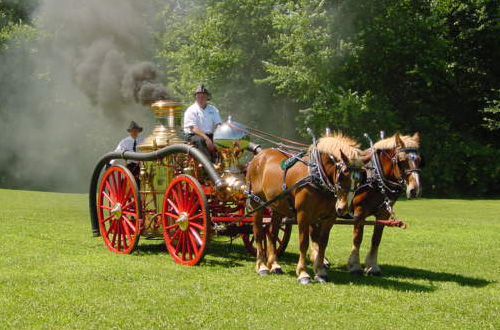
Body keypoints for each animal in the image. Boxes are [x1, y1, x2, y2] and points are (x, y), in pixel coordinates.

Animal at [247, 134, 362, 284]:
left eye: (359, 180)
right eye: (342, 174)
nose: (343, 208)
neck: (316, 175)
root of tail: (259, 156)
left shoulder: (329, 217)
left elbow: (322, 243)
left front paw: (320, 271)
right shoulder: (304, 214)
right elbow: (304, 243)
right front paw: (303, 273)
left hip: (277, 206)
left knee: (272, 233)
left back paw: (274, 265)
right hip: (256, 204)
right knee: (258, 233)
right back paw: (262, 266)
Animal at [348, 133, 426, 274]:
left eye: (419, 160)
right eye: (402, 161)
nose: (415, 190)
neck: (375, 177)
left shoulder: (383, 214)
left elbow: (376, 239)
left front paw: (372, 266)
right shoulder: (359, 212)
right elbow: (357, 238)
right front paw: (355, 265)